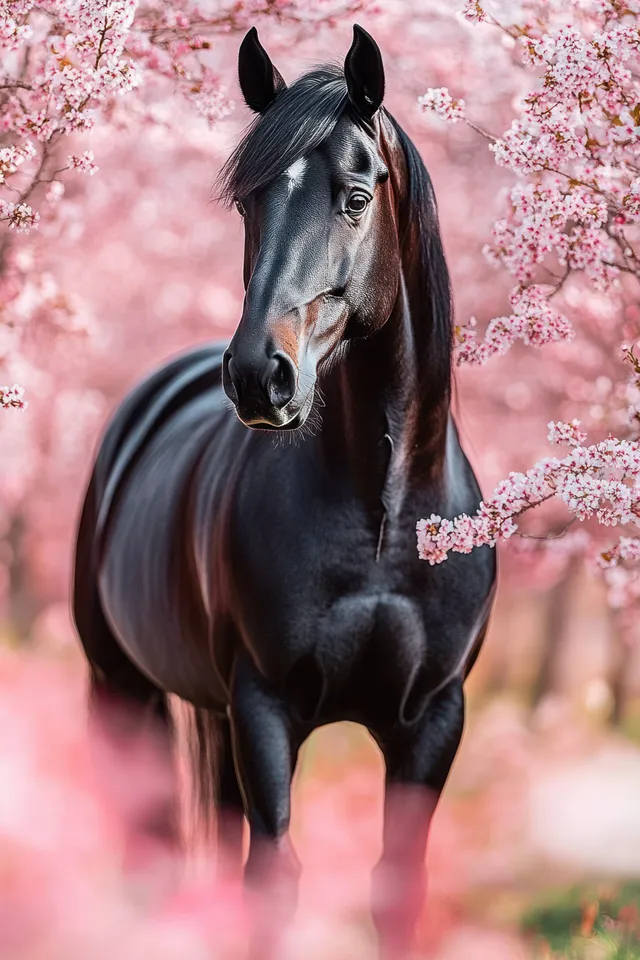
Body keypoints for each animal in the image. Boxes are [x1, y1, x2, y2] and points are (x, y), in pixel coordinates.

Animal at [73, 24, 496, 959]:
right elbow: (272, 881)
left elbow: (395, 887)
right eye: (247, 204)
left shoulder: (431, 722)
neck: (385, 516)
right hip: (123, 690)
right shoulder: (265, 707)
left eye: (355, 197)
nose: (259, 376)